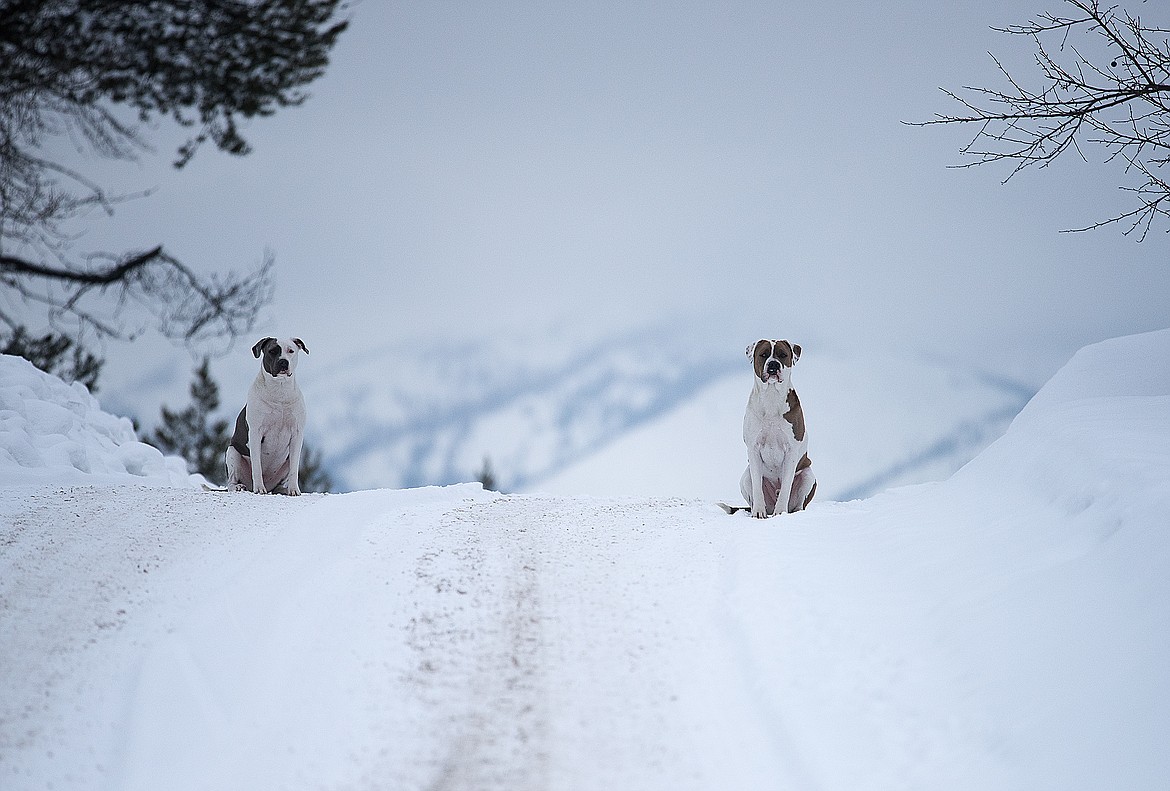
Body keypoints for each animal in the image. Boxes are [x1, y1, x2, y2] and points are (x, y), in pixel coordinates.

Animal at [224, 336, 308, 498]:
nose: (283, 362)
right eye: (272, 351)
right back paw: (239, 487)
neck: (279, 390)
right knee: (231, 481)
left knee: (278, 485)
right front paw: (259, 489)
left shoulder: (297, 434)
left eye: (291, 351)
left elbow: (294, 468)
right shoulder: (256, 433)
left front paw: (294, 490)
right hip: (233, 453)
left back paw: (283, 490)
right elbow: (257, 465)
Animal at [734, 339, 819, 519]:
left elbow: (786, 485)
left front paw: (781, 513)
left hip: (808, 475)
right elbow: (757, 486)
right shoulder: (753, 448)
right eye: (763, 354)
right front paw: (758, 513)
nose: (773, 364)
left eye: (783, 355)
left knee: (798, 503)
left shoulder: (791, 451)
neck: (771, 398)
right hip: (745, 477)